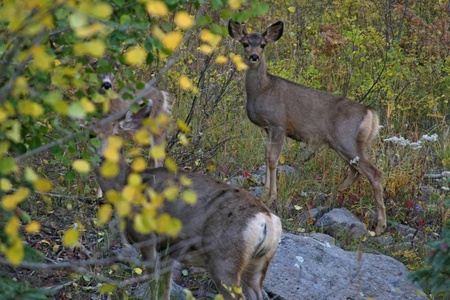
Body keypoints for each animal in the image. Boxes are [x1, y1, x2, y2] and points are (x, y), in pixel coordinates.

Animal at [89, 101, 282, 300]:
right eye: (91, 133)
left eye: (115, 133)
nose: (102, 156)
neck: (125, 185)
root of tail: (267, 220)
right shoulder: (167, 252)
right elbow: (164, 291)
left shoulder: (147, 241)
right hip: (257, 265)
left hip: (224, 261)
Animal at [229, 19, 386, 236]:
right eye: (245, 43)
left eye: (262, 44)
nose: (254, 56)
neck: (263, 89)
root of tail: (371, 114)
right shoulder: (268, 128)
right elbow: (267, 156)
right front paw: (265, 193)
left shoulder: (279, 124)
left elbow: (273, 160)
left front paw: (271, 197)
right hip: (345, 145)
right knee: (355, 170)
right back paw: (330, 199)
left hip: (346, 140)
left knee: (374, 173)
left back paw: (380, 226)